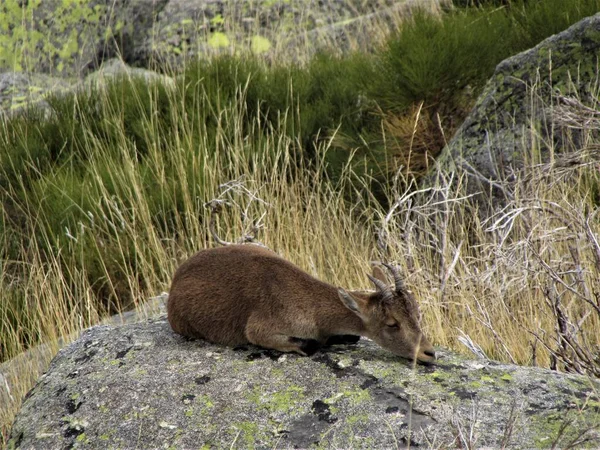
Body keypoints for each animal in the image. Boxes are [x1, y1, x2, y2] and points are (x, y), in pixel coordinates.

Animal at [169, 244, 436, 364]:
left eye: (417, 313)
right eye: (392, 323)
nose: (428, 352)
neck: (313, 307)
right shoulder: (261, 328)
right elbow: (306, 344)